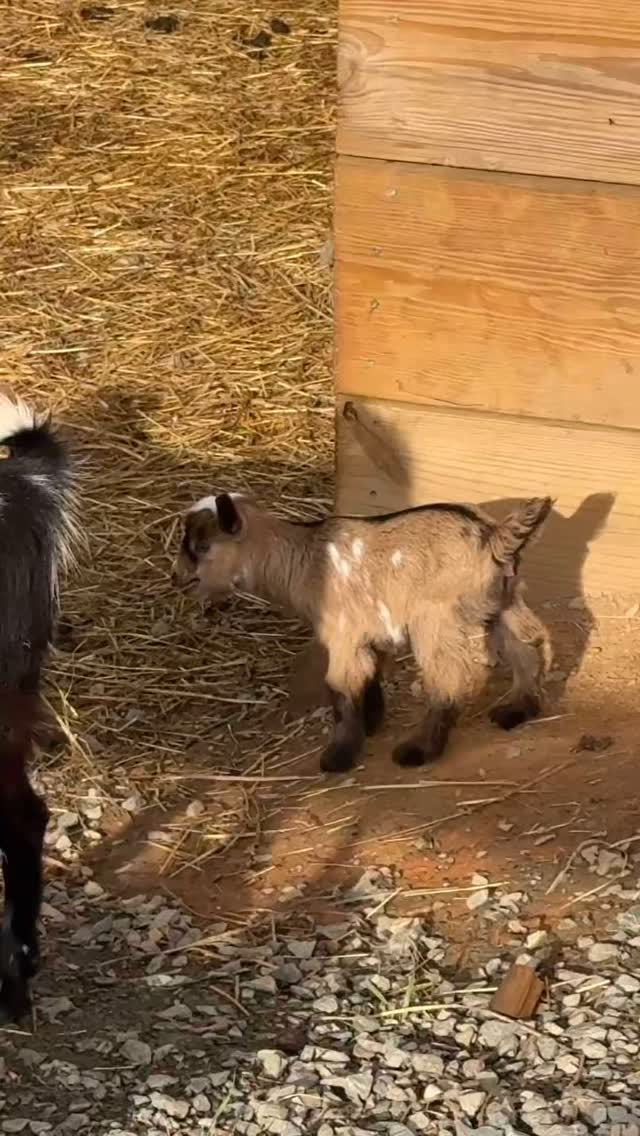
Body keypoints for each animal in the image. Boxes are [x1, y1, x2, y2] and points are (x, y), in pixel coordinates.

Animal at [173, 492, 552, 775]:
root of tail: (494, 535)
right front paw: (370, 725)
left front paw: (338, 756)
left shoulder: (342, 634)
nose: (180, 578)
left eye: (202, 546)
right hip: (503, 601)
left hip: (435, 617)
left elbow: (340, 687)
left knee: (448, 677)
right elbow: (369, 677)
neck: (303, 559)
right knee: (528, 645)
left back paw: (419, 750)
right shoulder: (371, 631)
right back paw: (518, 710)